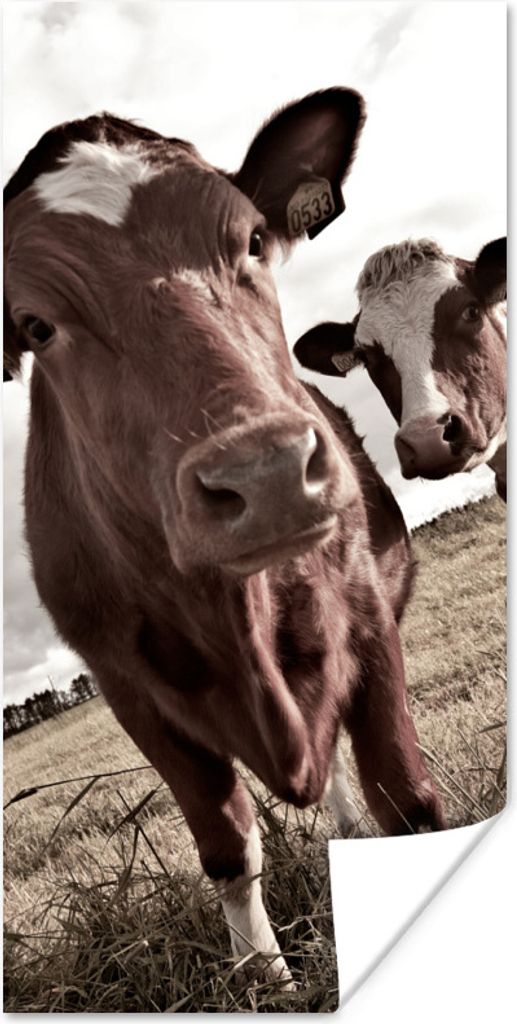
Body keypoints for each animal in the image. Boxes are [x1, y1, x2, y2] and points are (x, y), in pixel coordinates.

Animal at [3, 92, 445, 988]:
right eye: (34, 325)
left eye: (249, 242)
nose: (267, 472)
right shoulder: (129, 691)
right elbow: (228, 853)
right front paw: (267, 979)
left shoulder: (367, 623)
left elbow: (408, 804)